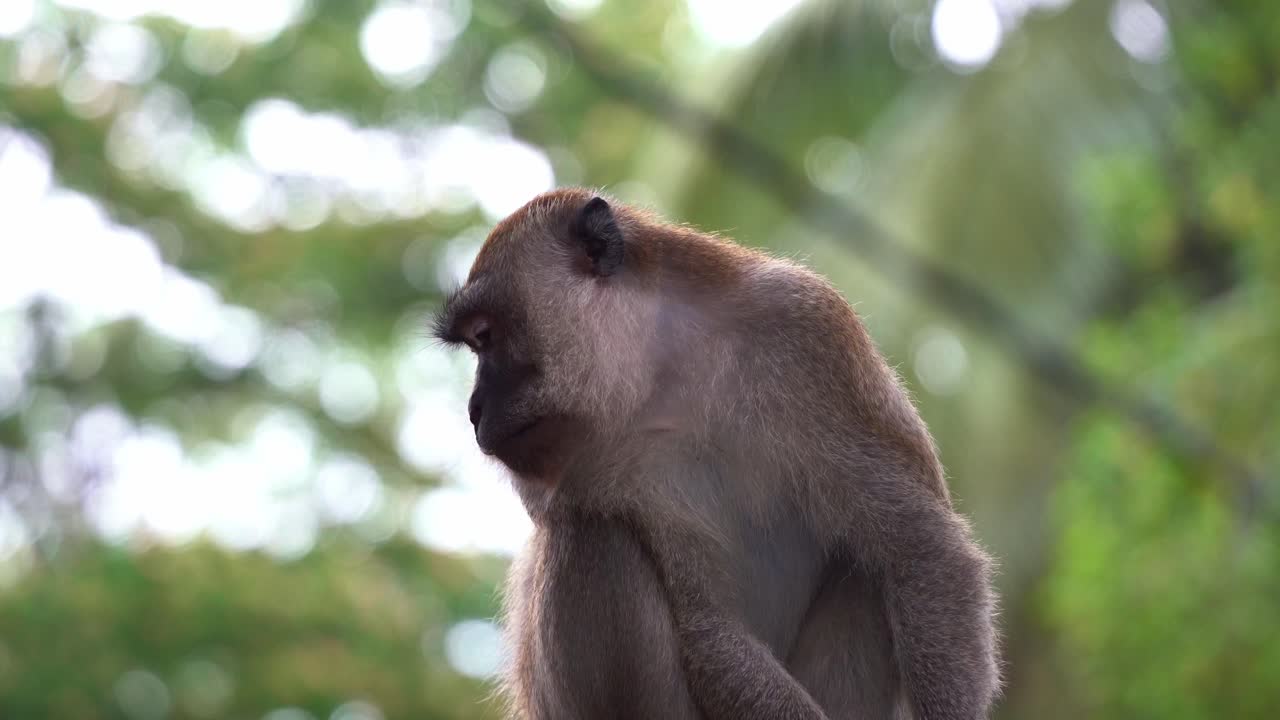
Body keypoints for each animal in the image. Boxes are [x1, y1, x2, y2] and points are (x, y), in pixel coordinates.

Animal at [432, 188, 1001, 719]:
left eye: (485, 336)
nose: (474, 409)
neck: (663, 367)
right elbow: (710, 623)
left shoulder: (808, 330)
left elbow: (921, 549)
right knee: (593, 537)